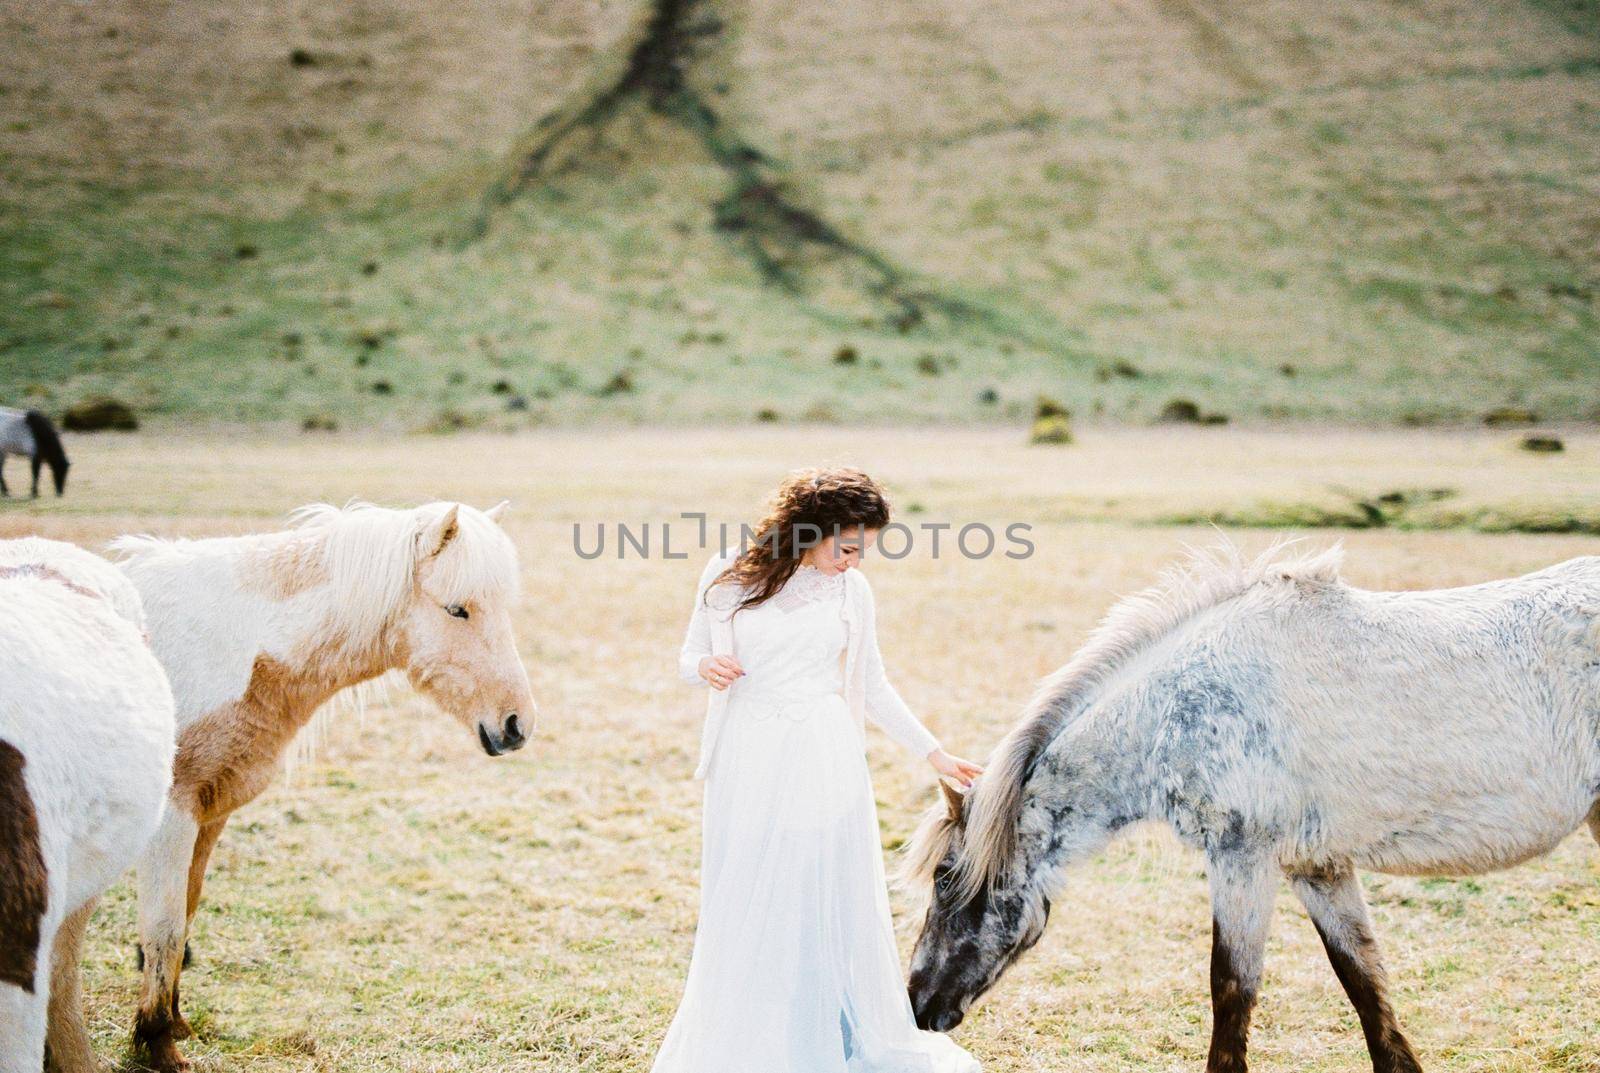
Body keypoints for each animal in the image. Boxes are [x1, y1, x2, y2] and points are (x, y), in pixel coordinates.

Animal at [116, 505, 537, 1073]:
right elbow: (162, 928)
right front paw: (159, 1046)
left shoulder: (207, 814)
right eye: (457, 610)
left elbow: (185, 912)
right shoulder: (171, 817)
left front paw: (175, 1023)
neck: (226, 641)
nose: (517, 725)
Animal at [908, 546, 1600, 1073]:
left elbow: (1231, 988)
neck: (1180, 708)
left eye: (944, 877)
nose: (916, 1002)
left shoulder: (1242, 857)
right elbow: (1364, 981)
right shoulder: (1318, 869)